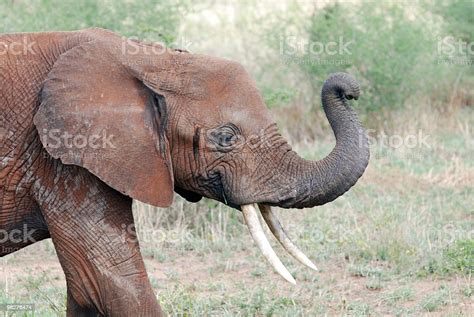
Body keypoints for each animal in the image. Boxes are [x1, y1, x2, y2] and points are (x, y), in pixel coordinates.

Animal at [0, 28, 370, 314]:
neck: (147, 59)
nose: (348, 88)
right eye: (225, 138)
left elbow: (86, 291)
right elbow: (110, 282)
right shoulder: (63, 160)